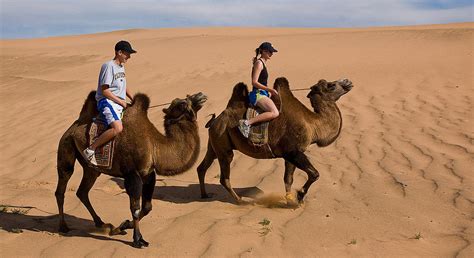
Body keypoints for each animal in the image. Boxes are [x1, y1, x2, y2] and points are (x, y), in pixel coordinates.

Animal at [54, 90, 206, 248]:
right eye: (181, 103)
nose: (201, 95)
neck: (155, 145)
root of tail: (73, 126)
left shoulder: (149, 174)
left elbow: (147, 207)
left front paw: (122, 226)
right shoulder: (132, 174)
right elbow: (136, 209)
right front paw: (138, 239)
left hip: (92, 169)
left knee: (82, 192)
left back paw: (101, 223)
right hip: (66, 146)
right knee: (62, 185)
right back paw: (63, 227)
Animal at [196, 76, 352, 206]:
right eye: (331, 85)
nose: (348, 81)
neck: (313, 125)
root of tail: (214, 121)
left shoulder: (290, 155)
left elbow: (288, 179)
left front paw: (290, 201)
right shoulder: (292, 152)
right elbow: (314, 174)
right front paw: (299, 197)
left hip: (214, 144)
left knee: (202, 167)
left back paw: (204, 195)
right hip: (223, 145)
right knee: (224, 177)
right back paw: (241, 201)